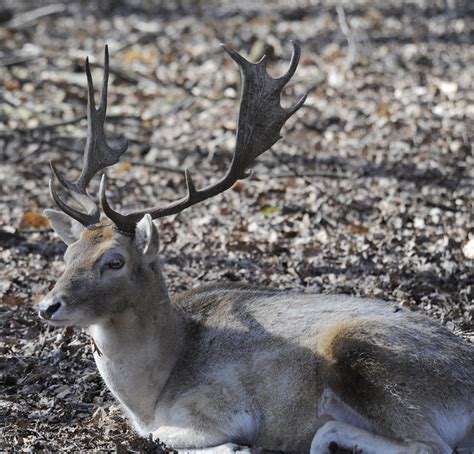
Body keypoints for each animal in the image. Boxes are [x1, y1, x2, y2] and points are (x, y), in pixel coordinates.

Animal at [39, 43, 472, 454]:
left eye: (115, 261)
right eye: (67, 255)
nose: (47, 306)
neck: (152, 394)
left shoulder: (226, 404)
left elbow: (163, 436)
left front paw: (234, 445)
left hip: (364, 353)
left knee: (430, 444)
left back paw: (323, 438)